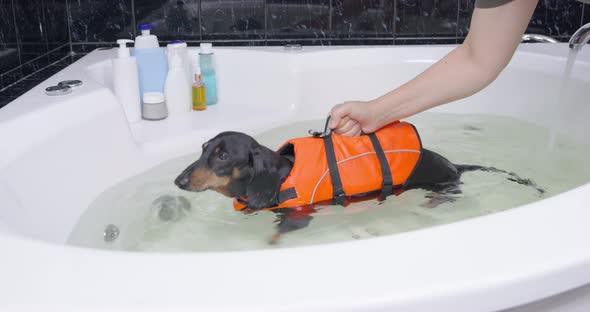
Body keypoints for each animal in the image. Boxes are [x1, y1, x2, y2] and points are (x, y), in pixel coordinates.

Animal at [175, 120, 544, 243]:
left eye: (223, 155)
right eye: (204, 148)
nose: (178, 180)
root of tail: (454, 165)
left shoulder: (299, 216)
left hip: (443, 185)